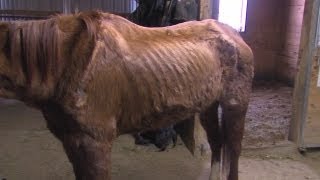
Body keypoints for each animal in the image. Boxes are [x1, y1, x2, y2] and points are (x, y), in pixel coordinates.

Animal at [0, 10, 254, 180]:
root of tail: (234, 35)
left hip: (235, 104)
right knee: (217, 141)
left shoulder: (95, 143)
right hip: (208, 105)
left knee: (234, 148)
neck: (69, 60)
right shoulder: (71, 140)